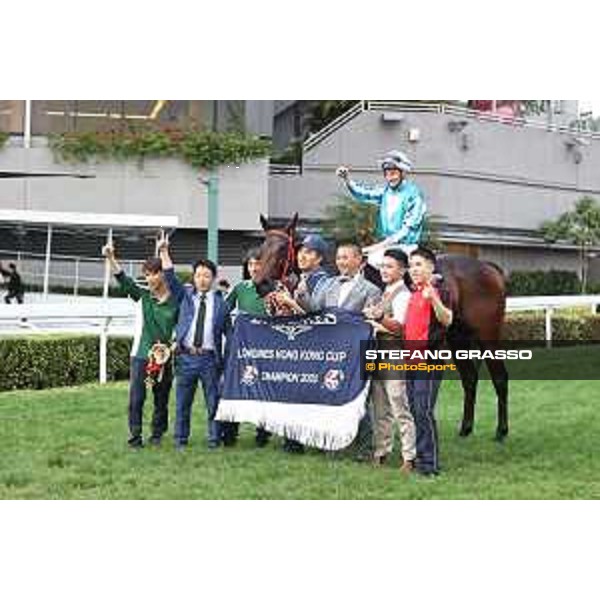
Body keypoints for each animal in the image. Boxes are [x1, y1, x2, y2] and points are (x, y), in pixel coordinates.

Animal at [255, 213, 508, 438]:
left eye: (281, 249)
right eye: (262, 247)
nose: (261, 284)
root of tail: (488, 267)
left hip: (487, 335)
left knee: (499, 376)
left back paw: (501, 431)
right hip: (458, 337)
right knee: (470, 378)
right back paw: (465, 429)